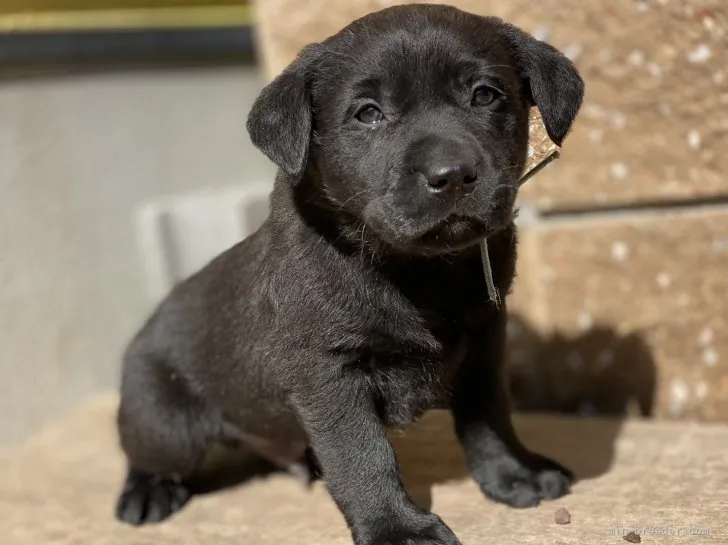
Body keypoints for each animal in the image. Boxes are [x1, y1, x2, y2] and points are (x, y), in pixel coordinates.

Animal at [115, 5, 580, 544]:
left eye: (484, 95)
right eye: (368, 114)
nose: (451, 175)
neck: (418, 270)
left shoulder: (484, 340)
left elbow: (490, 415)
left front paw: (514, 473)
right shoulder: (327, 369)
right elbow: (361, 456)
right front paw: (396, 528)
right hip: (166, 423)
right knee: (143, 454)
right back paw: (146, 493)